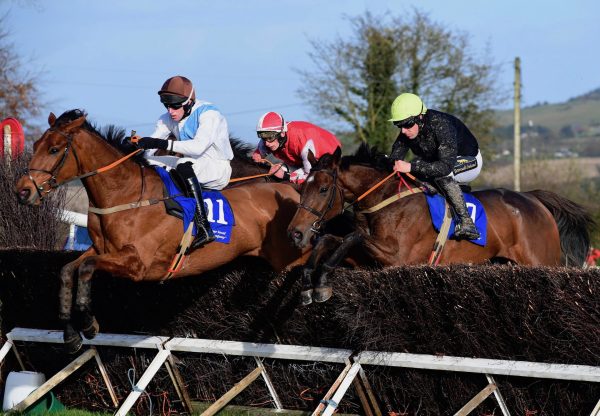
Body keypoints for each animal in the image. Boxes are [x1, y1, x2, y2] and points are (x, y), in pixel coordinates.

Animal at [16, 109, 312, 352]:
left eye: (54, 149)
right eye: (36, 145)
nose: (23, 191)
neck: (126, 194)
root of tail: (290, 190)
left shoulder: (138, 264)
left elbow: (87, 268)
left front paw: (88, 324)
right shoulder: (100, 249)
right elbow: (68, 270)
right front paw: (70, 334)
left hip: (290, 255)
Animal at [288, 145, 592, 304]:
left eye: (324, 189)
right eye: (302, 188)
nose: (296, 232)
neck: (387, 199)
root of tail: (534, 199)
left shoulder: (399, 257)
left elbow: (352, 237)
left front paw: (322, 280)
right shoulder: (370, 262)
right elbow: (331, 239)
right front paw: (308, 282)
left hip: (541, 260)